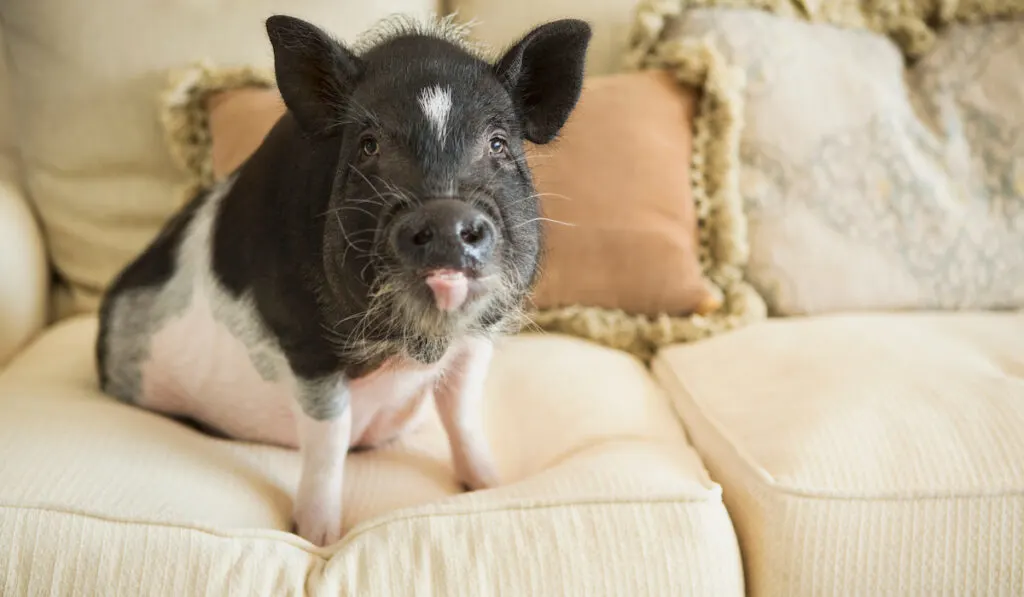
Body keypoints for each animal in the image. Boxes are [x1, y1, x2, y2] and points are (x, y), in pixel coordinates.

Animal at [97, 14, 593, 544]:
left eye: (498, 142)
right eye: (368, 145)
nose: (444, 215)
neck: (411, 350)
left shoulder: (478, 336)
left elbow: (462, 414)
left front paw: (492, 485)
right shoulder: (304, 340)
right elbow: (329, 438)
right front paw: (318, 537)